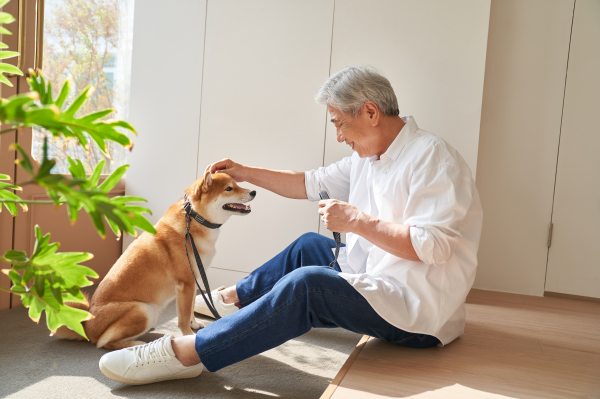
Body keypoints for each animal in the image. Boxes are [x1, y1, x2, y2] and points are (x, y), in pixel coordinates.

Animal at [53, 172, 255, 350]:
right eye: (229, 188)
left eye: (236, 184)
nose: (254, 192)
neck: (194, 221)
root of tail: (87, 327)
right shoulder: (186, 284)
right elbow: (183, 317)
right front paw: (188, 336)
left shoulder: (194, 280)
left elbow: (190, 309)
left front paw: (195, 324)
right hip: (144, 310)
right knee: (104, 342)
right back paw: (135, 344)